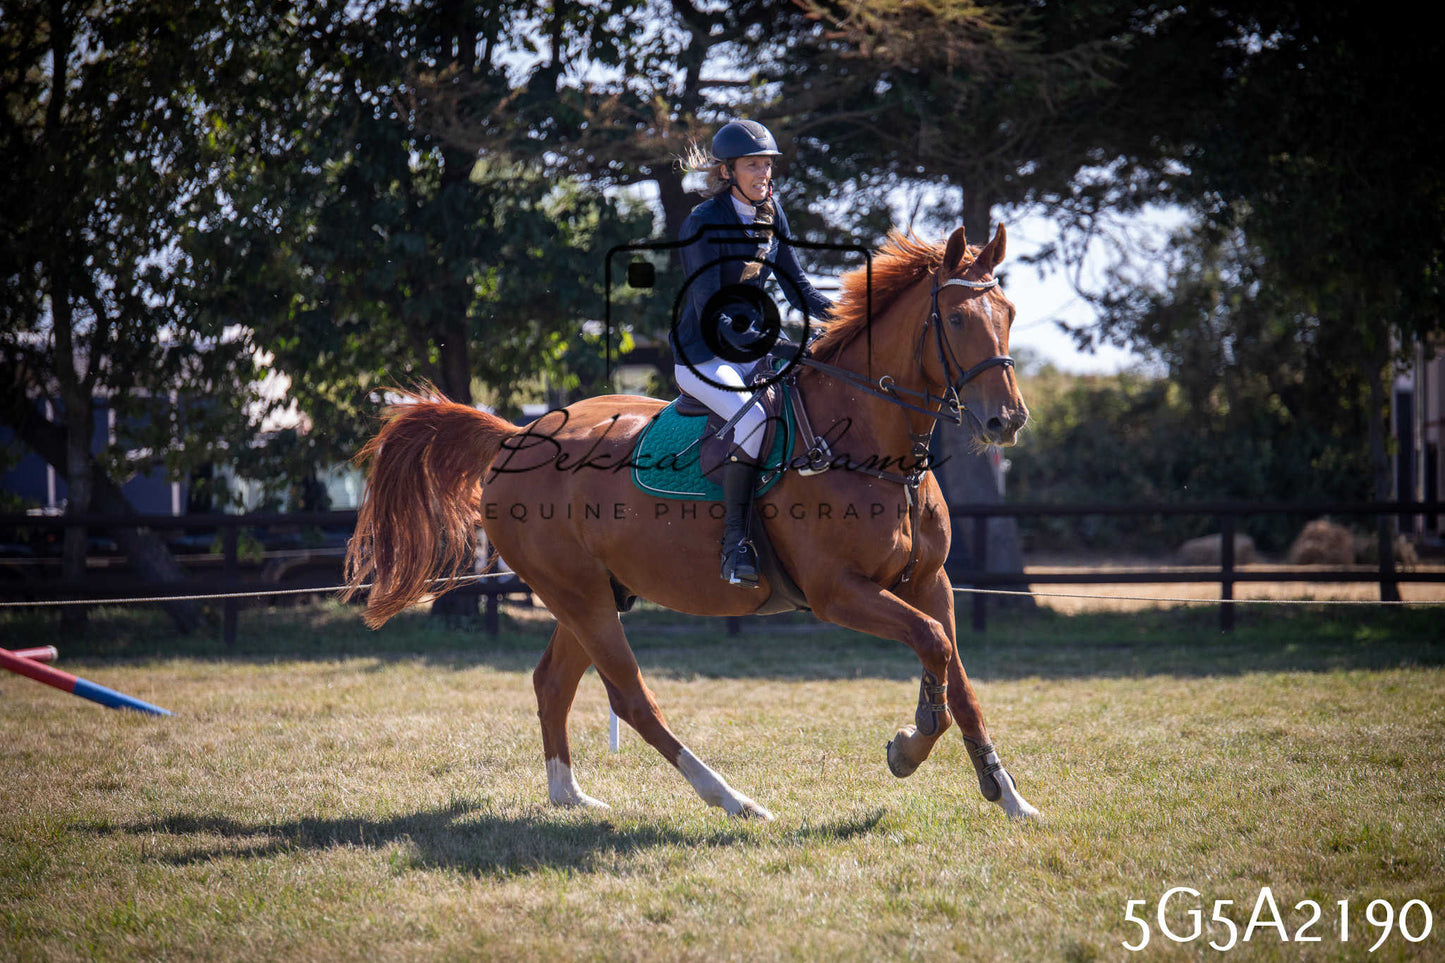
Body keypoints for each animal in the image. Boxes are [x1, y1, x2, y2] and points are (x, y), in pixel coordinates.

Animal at [343, 224, 1039, 821]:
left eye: (1007, 314)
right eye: (955, 318)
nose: (1006, 420)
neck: (871, 445)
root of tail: (515, 435)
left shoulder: (929, 582)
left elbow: (957, 676)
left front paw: (1005, 794)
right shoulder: (838, 592)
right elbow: (933, 645)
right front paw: (908, 745)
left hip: (594, 594)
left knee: (553, 683)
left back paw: (571, 796)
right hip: (579, 594)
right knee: (630, 698)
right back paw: (733, 800)